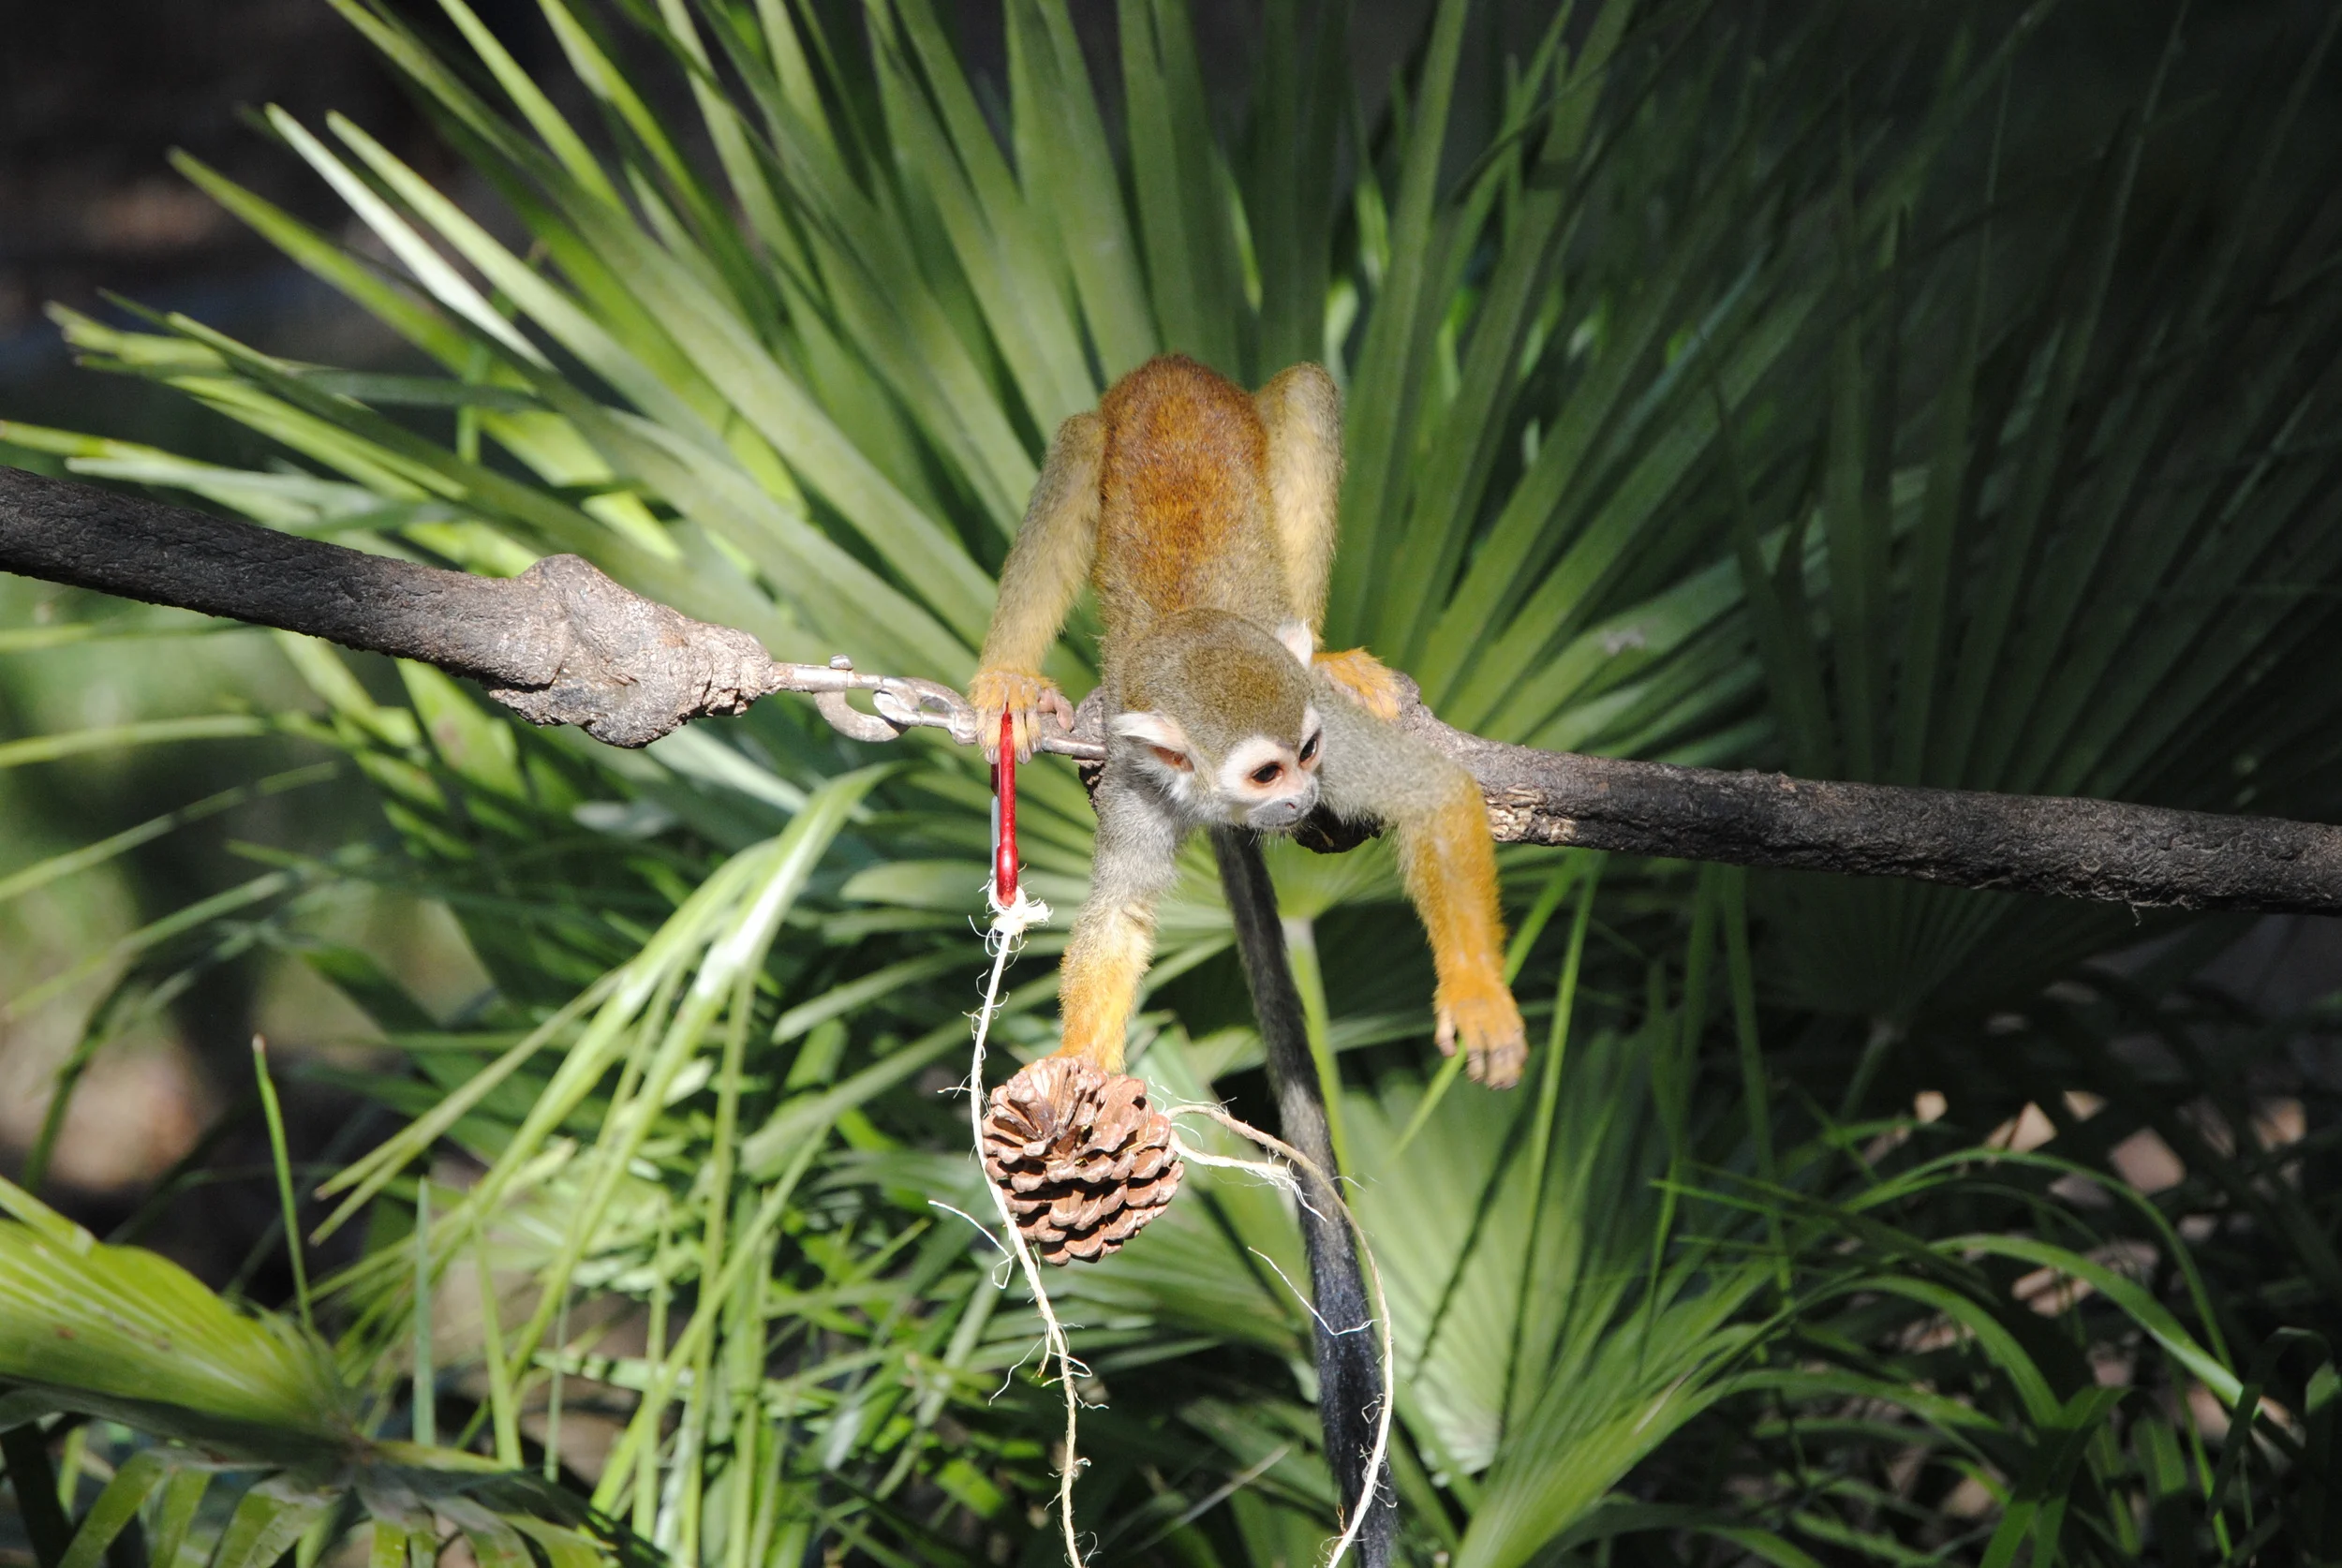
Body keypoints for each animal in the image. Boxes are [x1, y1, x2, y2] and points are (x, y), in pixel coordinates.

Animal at [968, 355, 1529, 1088]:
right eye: (1266, 773)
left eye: (1309, 750)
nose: (1303, 796)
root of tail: (1168, 364)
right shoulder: (1138, 778)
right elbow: (1120, 912)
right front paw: (1080, 1061)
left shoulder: (1328, 728)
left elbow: (1434, 794)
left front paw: (1478, 995)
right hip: (1103, 427)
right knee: (1079, 448)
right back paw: (1007, 677)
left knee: (1308, 394)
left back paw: (1320, 648)